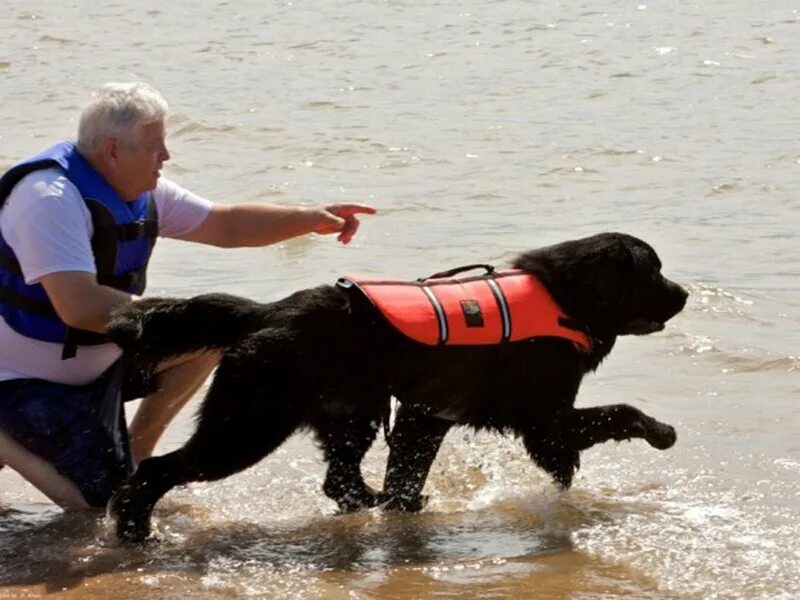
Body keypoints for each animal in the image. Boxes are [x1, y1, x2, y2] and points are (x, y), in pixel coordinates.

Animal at [109, 232, 692, 540]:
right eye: (654, 272)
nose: (685, 292)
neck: (564, 299)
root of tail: (267, 312)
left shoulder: (426, 411)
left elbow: (406, 472)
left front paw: (401, 506)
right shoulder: (541, 414)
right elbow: (618, 412)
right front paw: (661, 431)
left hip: (352, 414)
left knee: (340, 479)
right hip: (249, 425)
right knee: (158, 469)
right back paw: (135, 529)